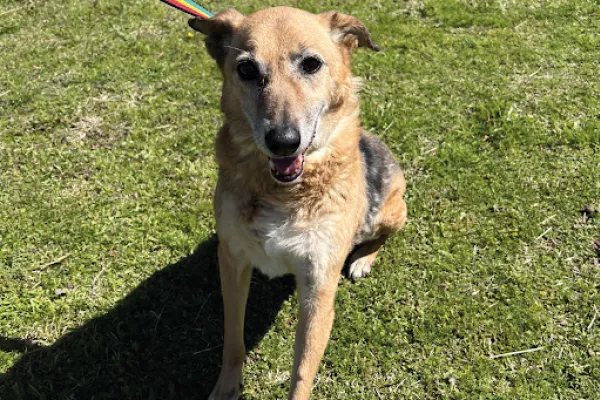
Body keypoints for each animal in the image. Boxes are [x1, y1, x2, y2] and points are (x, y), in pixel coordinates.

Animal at [188, 7, 407, 399]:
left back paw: (363, 258)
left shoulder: (318, 286)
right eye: (246, 69)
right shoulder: (232, 261)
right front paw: (227, 387)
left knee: (382, 234)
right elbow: (233, 340)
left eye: (311, 64)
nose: (283, 141)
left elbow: (303, 371)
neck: (284, 191)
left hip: (389, 211)